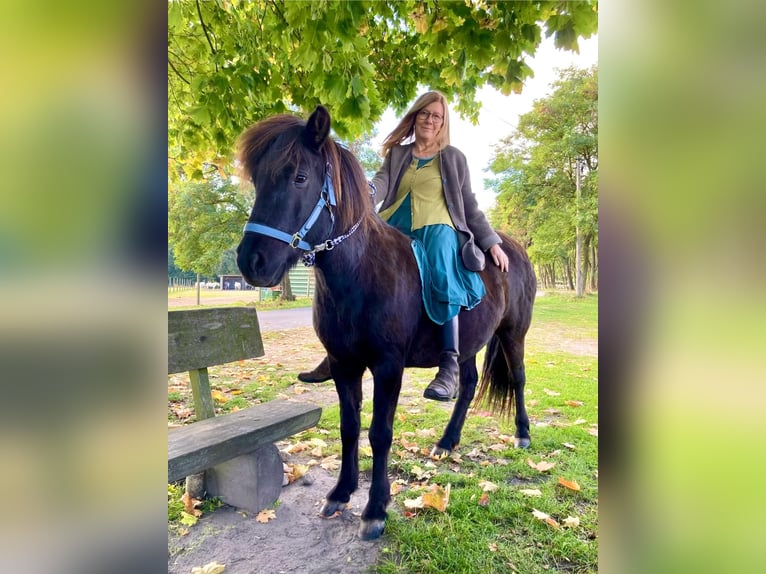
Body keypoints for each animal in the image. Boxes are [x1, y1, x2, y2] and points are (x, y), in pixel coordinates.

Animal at [235, 105, 536, 540]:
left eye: (299, 177)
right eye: (258, 180)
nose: (251, 261)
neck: (361, 273)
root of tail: (508, 246)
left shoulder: (388, 366)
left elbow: (380, 433)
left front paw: (376, 508)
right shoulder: (344, 365)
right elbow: (349, 427)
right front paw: (341, 492)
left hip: (514, 334)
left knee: (518, 379)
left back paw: (523, 434)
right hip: (468, 345)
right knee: (466, 385)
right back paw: (447, 440)